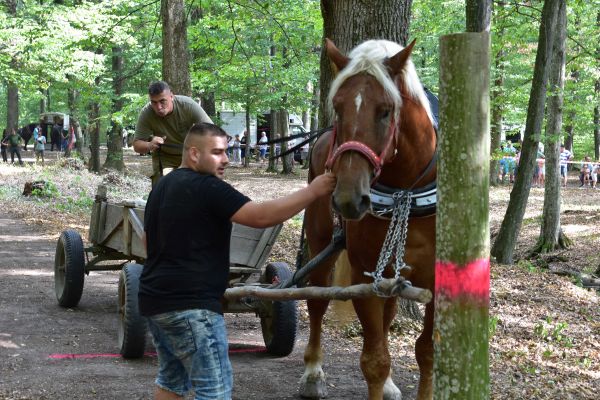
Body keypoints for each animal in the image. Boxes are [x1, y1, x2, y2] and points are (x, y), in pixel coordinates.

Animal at [300, 38, 436, 400]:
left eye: (386, 110)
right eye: (338, 107)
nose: (348, 198)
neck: (405, 191)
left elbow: (427, 352)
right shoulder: (364, 273)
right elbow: (375, 360)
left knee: (390, 314)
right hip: (319, 241)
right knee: (316, 301)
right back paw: (313, 372)